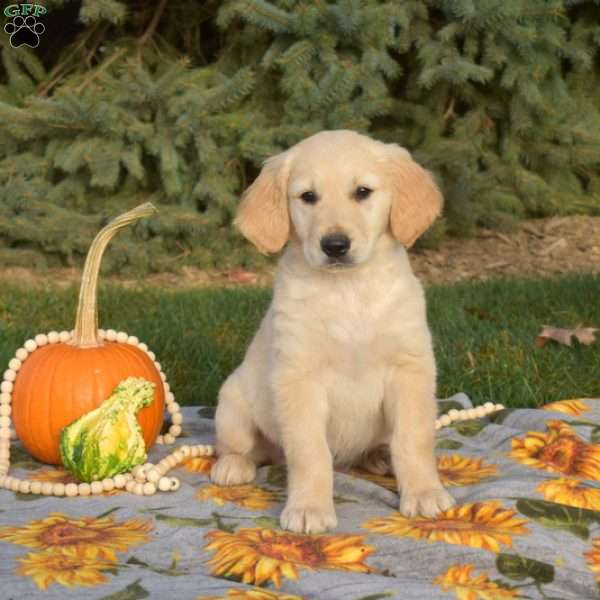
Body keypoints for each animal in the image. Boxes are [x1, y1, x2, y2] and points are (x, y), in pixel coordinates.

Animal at [209, 129, 452, 532]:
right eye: (308, 197)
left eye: (363, 192)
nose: (335, 245)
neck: (348, 292)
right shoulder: (299, 378)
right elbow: (310, 452)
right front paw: (309, 507)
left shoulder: (410, 369)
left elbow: (413, 440)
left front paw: (423, 492)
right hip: (232, 404)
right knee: (245, 447)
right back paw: (232, 465)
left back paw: (378, 456)